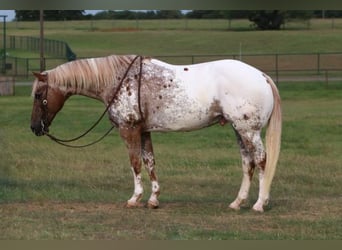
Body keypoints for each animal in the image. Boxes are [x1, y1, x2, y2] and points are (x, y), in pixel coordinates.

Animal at [30, 54, 280, 211]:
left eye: (38, 95)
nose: (34, 127)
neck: (119, 79)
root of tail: (262, 76)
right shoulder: (144, 132)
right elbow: (149, 162)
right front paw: (153, 200)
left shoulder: (129, 130)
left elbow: (135, 163)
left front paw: (135, 198)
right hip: (239, 130)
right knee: (247, 164)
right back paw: (237, 203)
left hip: (249, 131)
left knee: (261, 161)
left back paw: (260, 204)